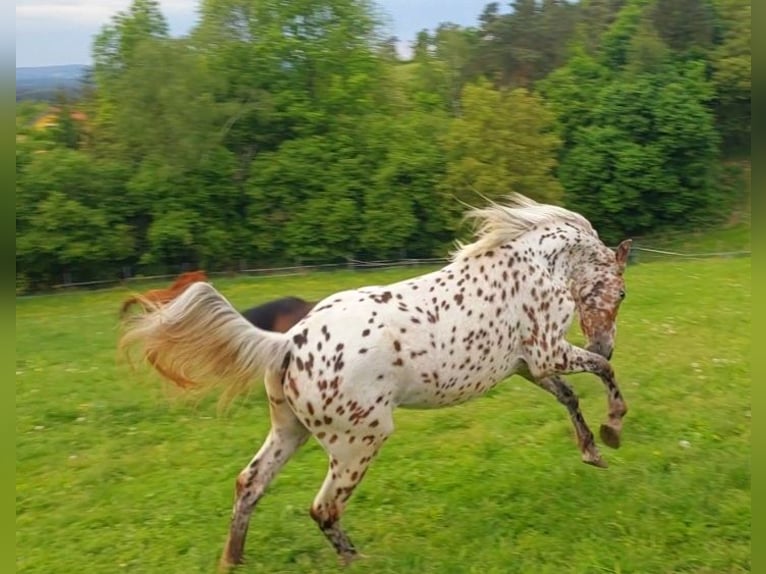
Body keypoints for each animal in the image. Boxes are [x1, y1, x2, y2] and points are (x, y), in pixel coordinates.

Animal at [119, 193, 633, 569]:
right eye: (623, 292)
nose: (607, 341)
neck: (540, 264)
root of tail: (287, 343)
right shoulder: (548, 353)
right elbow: (602, 373)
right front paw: (613, 428)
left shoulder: (530, 366)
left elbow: (570, 396)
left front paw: (593, 451)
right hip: (358, 442)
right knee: (323, 508)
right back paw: (360, 561)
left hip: (290, 431)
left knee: (250, 484)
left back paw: (232, 562)